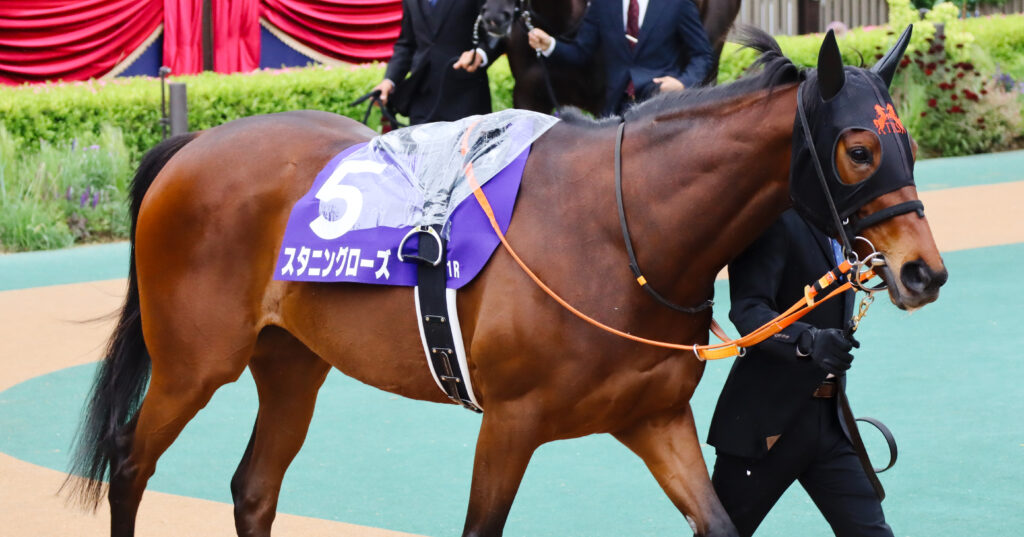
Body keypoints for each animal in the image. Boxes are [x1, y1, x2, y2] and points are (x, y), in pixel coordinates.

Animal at [66, 27, 946, 537]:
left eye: (907, 144)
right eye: (860, 149)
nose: (923, 271)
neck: (619, 228)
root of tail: (192, 146)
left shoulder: (654, 419)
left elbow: (719, 521)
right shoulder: (510, 424)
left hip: (291, 362)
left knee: (253, 487)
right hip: (193, 362)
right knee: (130, 462)